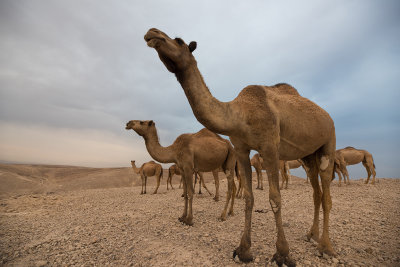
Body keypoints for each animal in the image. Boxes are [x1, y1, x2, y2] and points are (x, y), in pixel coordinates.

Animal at [144, 28, 338, 266]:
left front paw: (283, 254)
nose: (152, 32)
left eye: (178, 40)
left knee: (326, 194)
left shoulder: (270, 147)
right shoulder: (241, 149)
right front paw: (244, 250)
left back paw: (326, 247)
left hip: (329, 142)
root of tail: (327, 117)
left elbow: (275, 199)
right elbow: (248, 197)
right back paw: (311, 235)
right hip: (308, 156)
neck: (240, 115)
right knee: (316, 193)